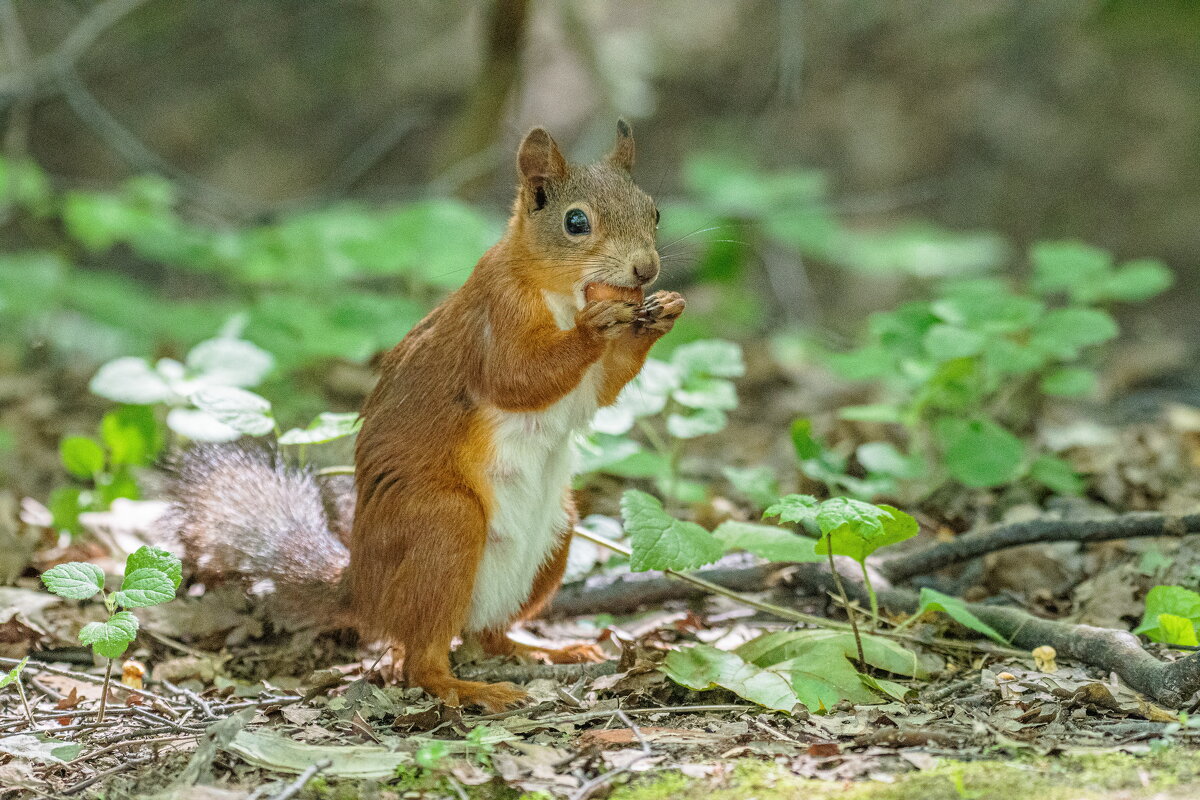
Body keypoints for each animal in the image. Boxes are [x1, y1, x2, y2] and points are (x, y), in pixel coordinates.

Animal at [174, 123, 691, 714]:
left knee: (486, 634)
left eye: (654, 212)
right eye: (575, 222)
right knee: (420, 661)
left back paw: (545, 651)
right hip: (442, 525)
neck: (561, 293)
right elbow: (518, 377)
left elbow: (602, 389)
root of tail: (363, 591)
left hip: (557, 532)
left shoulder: (590, 384)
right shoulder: (496, 318)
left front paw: (663, 312)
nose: (646, 269)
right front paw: (595, 326)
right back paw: (467, 687)